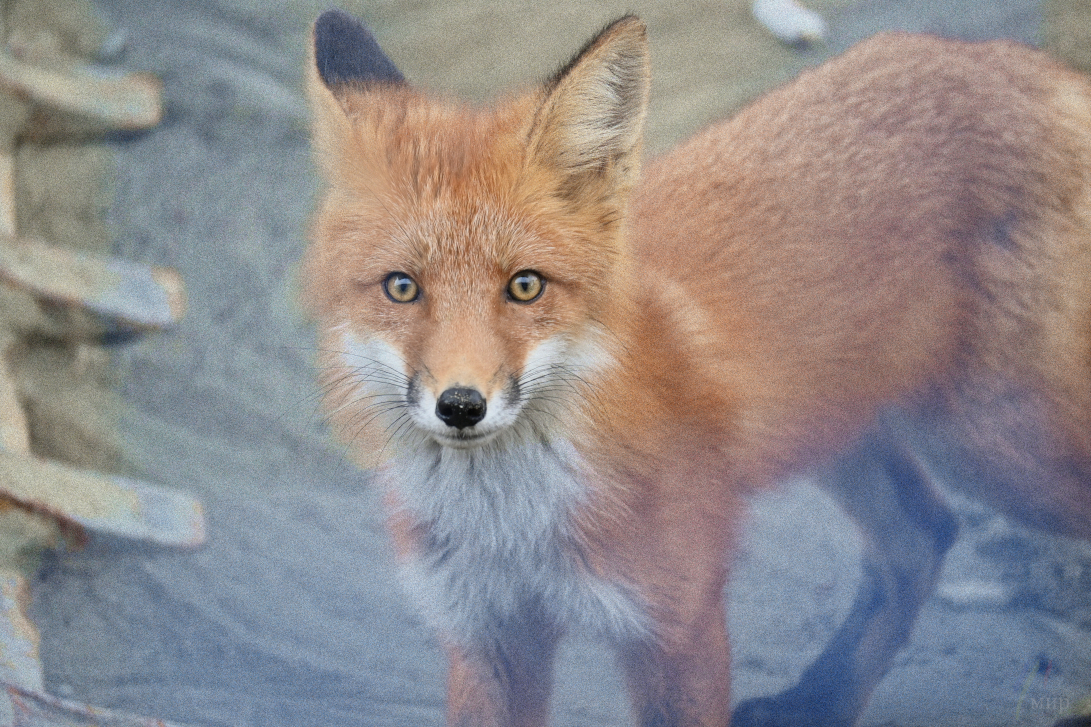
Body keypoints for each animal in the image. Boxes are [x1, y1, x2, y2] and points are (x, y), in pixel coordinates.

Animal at [303, 9, 1091, 724]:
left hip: (1000, 452)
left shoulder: (675, 626)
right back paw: (821, 700)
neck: (514, 527)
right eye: (402, 287)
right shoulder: (488, 636)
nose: (461, 405)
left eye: (525, 286)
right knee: (922, 535)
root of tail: (1028, 66)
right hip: (844, 430)